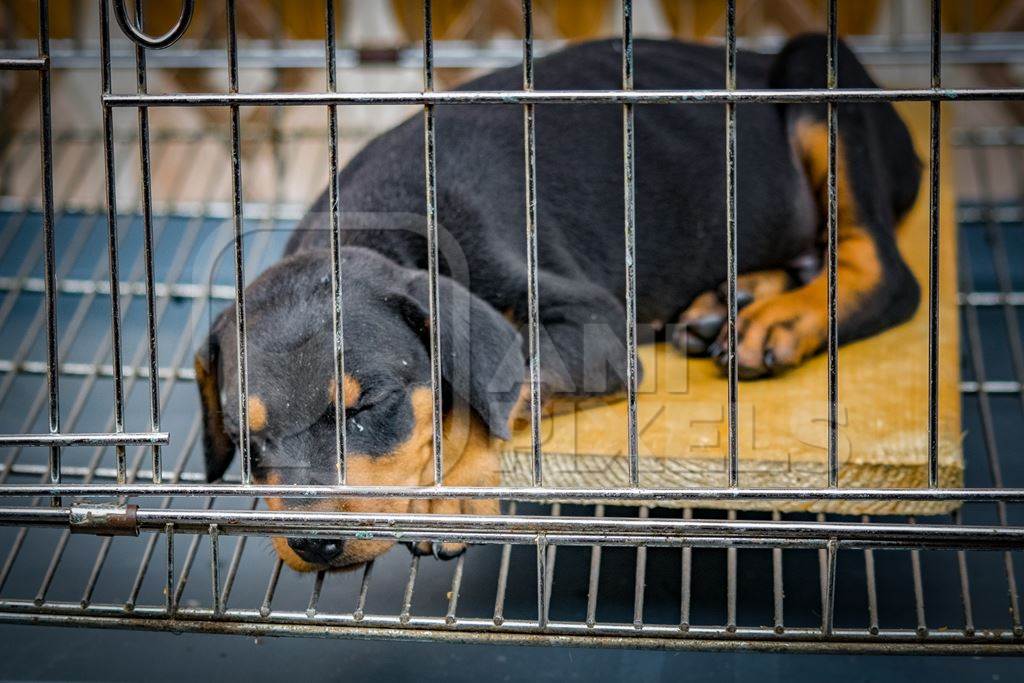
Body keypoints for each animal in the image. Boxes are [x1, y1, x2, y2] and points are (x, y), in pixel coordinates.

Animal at [193, 36, 921, 573]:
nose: (310, 543)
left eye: (366, 408)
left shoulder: (592, 328)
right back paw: (734, 297)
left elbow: (488, 390)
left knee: (883, 272)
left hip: (818, 81)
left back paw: (781, 318)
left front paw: (453, 496)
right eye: (246, 439)